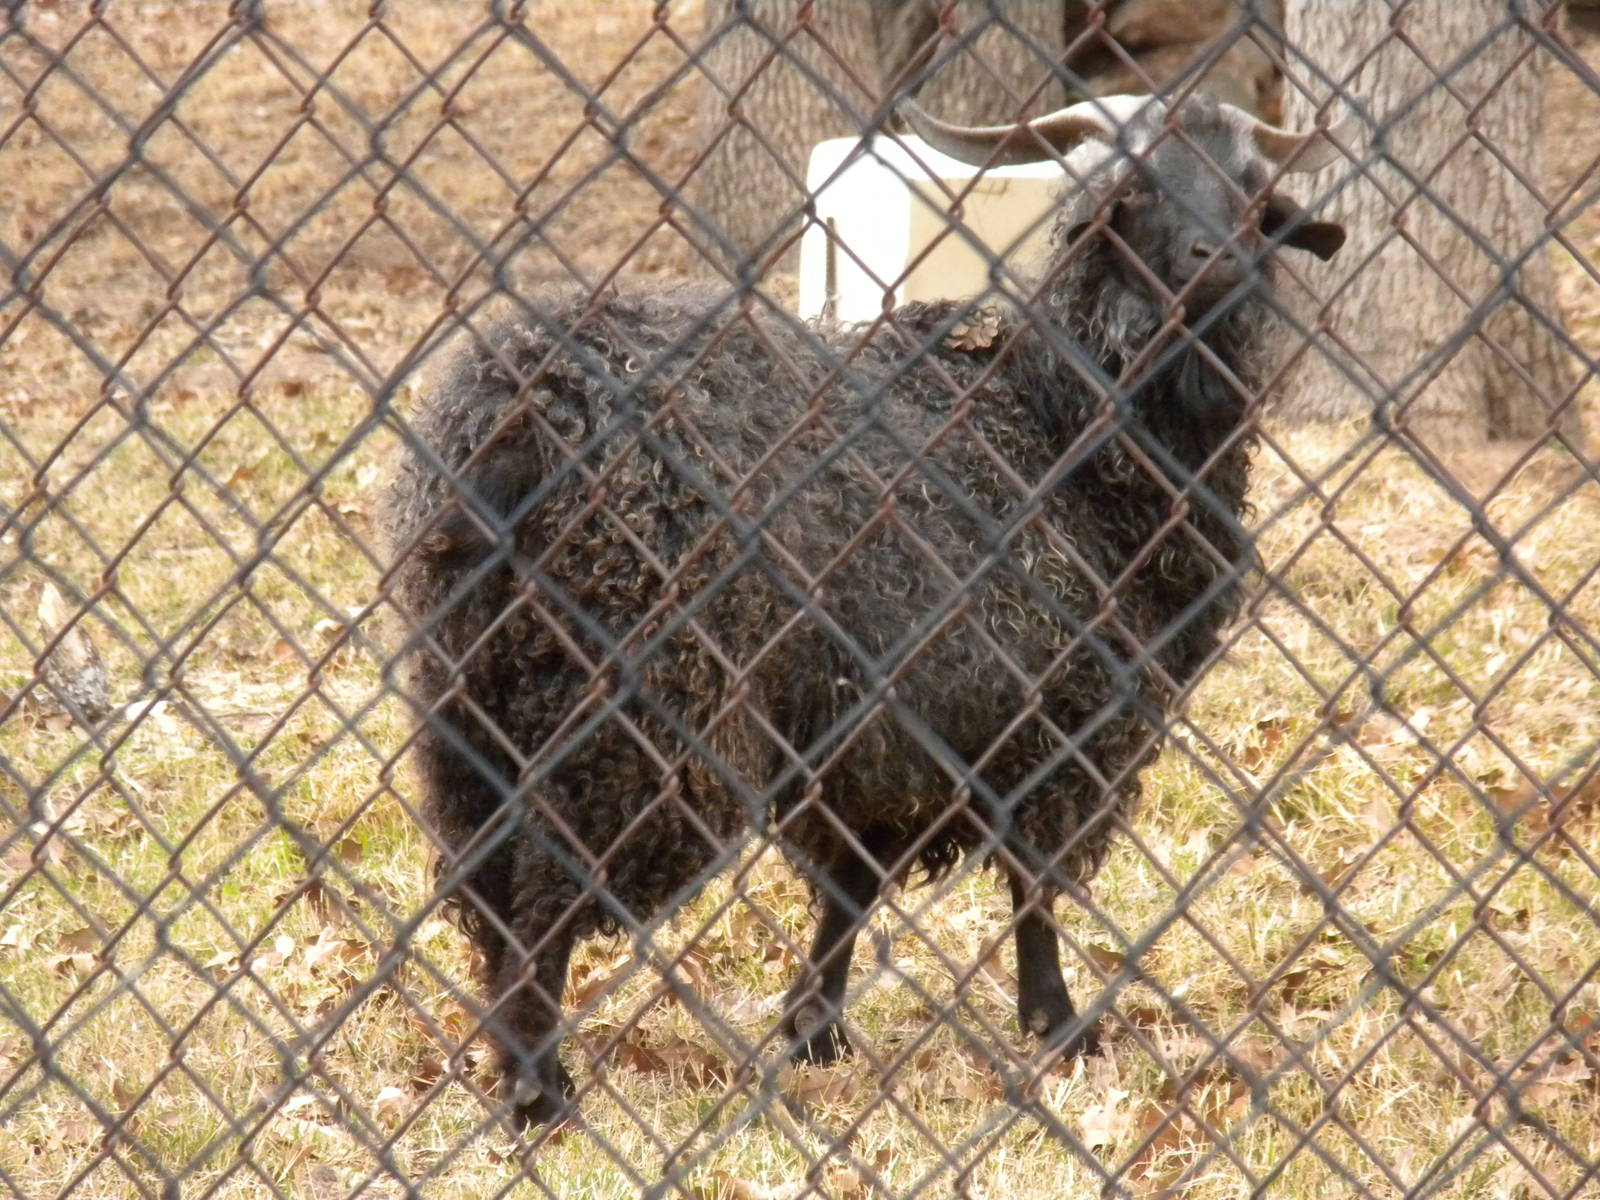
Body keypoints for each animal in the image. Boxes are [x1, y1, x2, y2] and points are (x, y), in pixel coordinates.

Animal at [384, 92, 1347, 1130]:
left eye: (1251, 188)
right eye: (1130, 188)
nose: (1218, 260)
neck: (1057, 420)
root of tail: (522, 411)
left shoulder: (874, 728)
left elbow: (850, 884)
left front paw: (815, 1032)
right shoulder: (1044, 708)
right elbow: (1032, 883)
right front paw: (1057, 1027)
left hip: (478, 687)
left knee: (489, 881)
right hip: (636, 701)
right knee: (551, 888)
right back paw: (540, 1093)